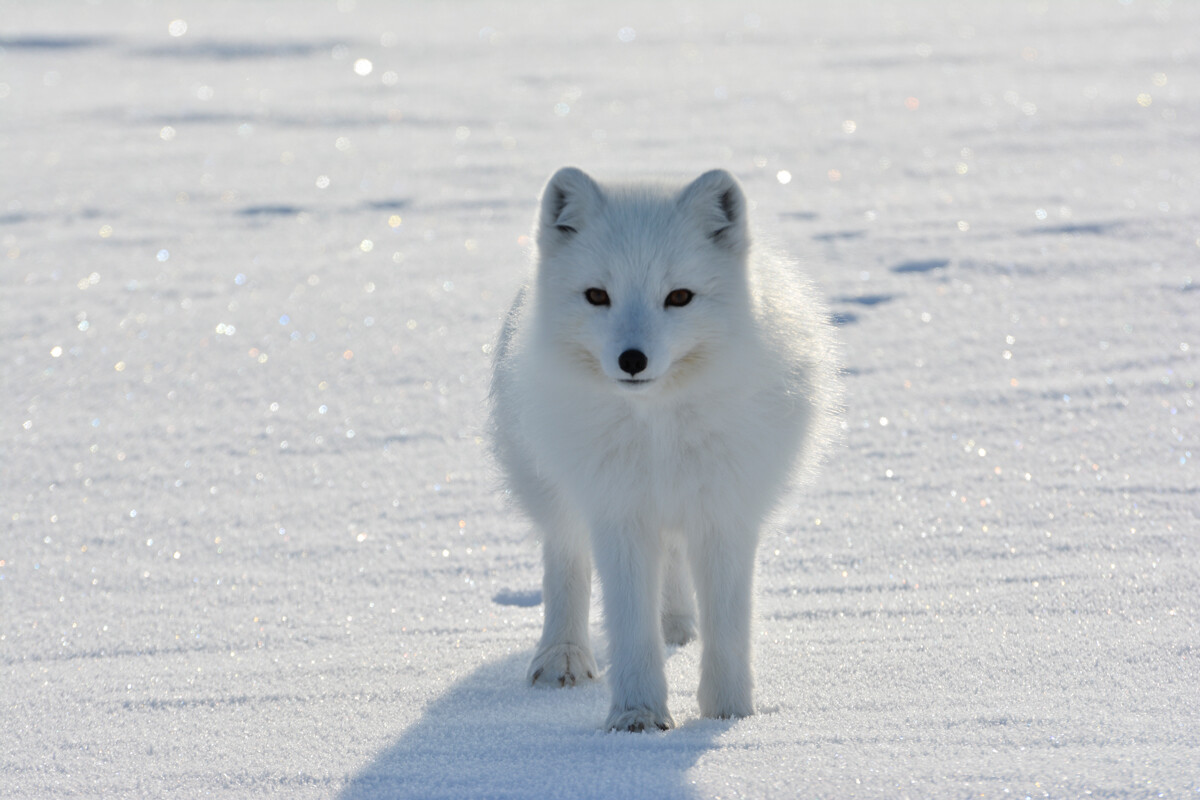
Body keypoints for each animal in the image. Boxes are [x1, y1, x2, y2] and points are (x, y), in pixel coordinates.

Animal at [487, 167, 835, 734]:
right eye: (597, 295)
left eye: (679, 297)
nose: (632, 359)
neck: (658, 430)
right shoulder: (619, 513)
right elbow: (630, 625)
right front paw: (638, 717)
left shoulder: (724, 513)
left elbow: (729, 628)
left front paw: (729, 716)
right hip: (554, 489)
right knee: (565, 560)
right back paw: (562, 655)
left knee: (672, 561)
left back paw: (676, 626)